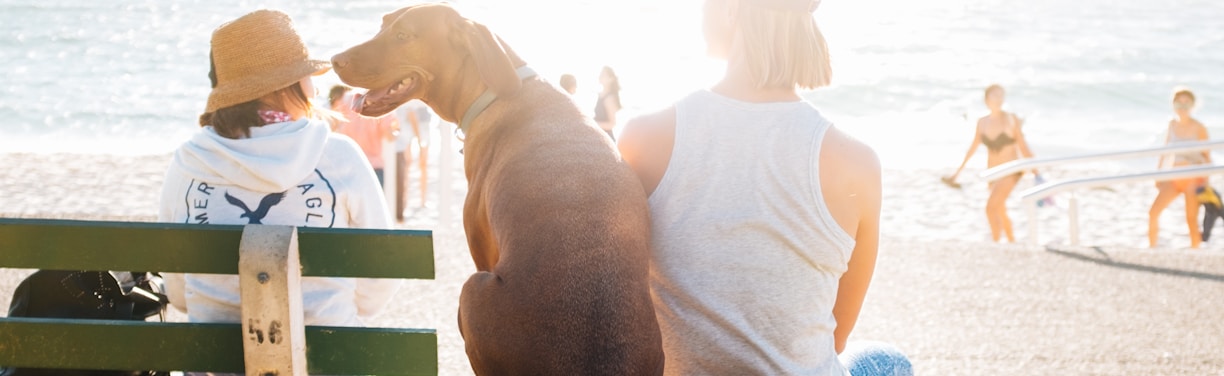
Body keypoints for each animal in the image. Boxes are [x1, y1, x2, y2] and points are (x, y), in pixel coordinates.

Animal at [330, 3, 665, 376]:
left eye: (403, 35)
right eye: (383, 25)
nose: (334, 59)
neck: (494, 90)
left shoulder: (481, 250)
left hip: (471, 291)